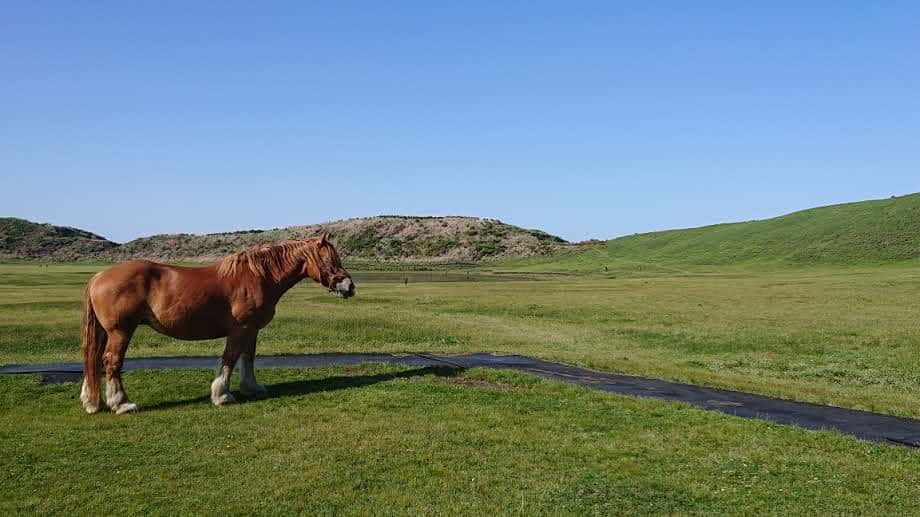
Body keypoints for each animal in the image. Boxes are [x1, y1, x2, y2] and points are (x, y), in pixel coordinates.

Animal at [79, 233, 354, 414]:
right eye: (329, 260)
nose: (349, 286)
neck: (258, 277)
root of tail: (98, 276)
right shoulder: (240, 329)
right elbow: (229, 359)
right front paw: (222, 394)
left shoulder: (252, 330)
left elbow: (248, 358)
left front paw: (251, 387)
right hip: (120, 331)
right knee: (111, 362)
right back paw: (121, 403)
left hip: (107, 332)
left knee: (94, 360)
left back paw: (92, 400)